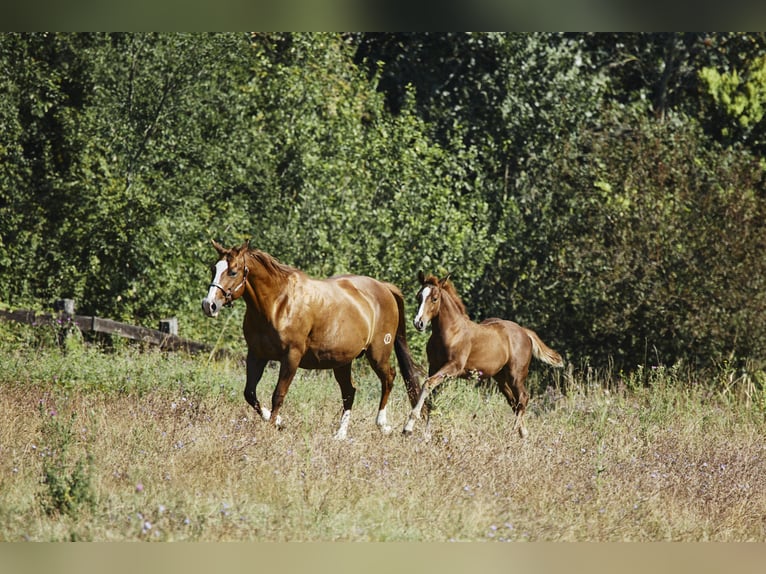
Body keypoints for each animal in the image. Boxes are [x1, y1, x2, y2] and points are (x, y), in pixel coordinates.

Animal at [201, 241, 424, 438]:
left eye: (233, 271)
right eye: (213, 269)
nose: (208, 305)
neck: (277, 304)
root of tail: (385, 288)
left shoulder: (291, 357)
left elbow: (278, 395)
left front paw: (272, 427)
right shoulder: (256, 355)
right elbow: (249, 393)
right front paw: (278, 422)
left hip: (378, 354)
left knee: (389, 378)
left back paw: (383, 425)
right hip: (341, 361)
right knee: (349, 391)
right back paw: (340, 435)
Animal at [402, 272, 564, 438]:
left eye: (434, 298)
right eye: (418, 296)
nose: (418, 323)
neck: (451, 332)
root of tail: (524, 331)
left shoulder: (453, 367)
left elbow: (427, 384)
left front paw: (408, 427)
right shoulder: (435, 368)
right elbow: (432, 398)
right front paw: (427, 435)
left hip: (516, 375)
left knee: (523, 398)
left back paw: (512, 433)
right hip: (501, 378)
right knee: (514, 402)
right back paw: (523, 434)